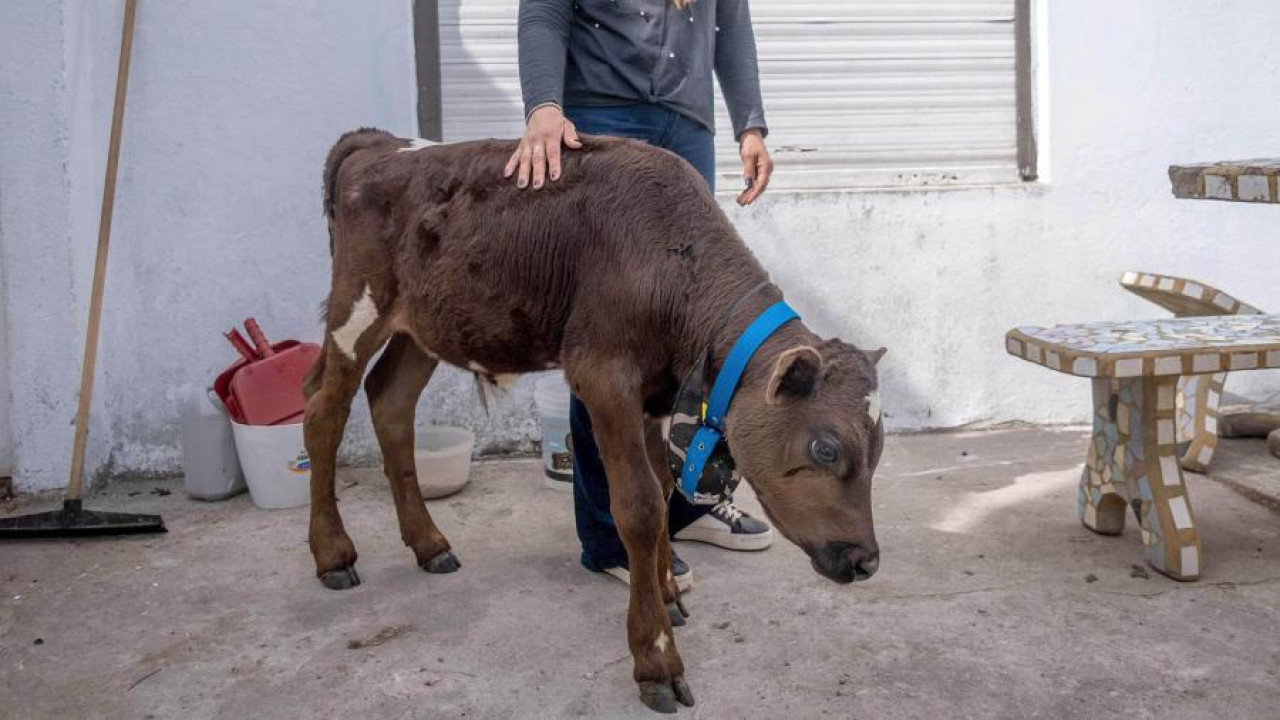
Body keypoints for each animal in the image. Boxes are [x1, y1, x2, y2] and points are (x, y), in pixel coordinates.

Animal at [304, 127, 885, 707]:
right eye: (825, 448)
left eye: (878, 453)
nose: (868, 562)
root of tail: (381, 142)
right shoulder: (603, 376)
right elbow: (640, 507)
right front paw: (656, 657)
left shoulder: (656, 396)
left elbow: (662, 490)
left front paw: (667, 595)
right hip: (356, 305)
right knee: (322, 412)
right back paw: (334, 555)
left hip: (423, 324)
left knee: (390, 401)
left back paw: (429, 544)